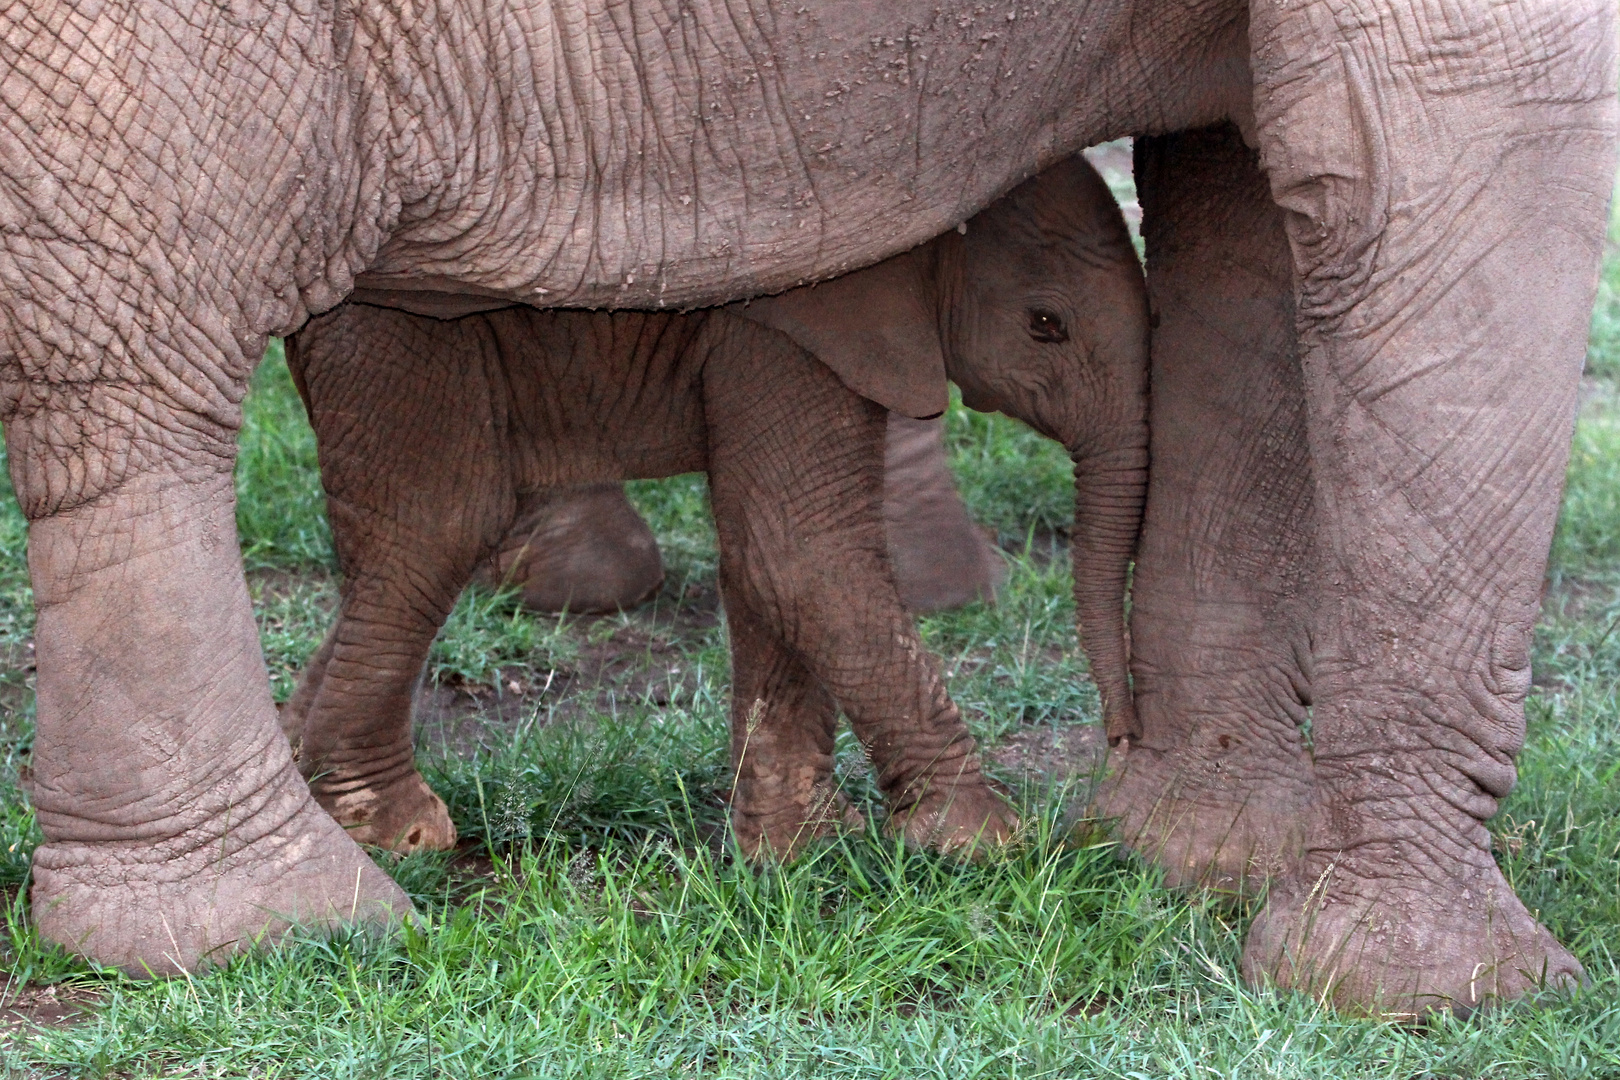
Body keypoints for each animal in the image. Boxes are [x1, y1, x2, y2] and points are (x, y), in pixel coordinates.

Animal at [285, 153, 1146, 861]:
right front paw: (989, 845)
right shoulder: (802, 323)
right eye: (1046, 325)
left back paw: (307, 779)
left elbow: (763, 553)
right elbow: (801, 551)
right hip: (398, 341)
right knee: (439, 530)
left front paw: (802, 848)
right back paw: (398, 833)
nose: (1120, 739)